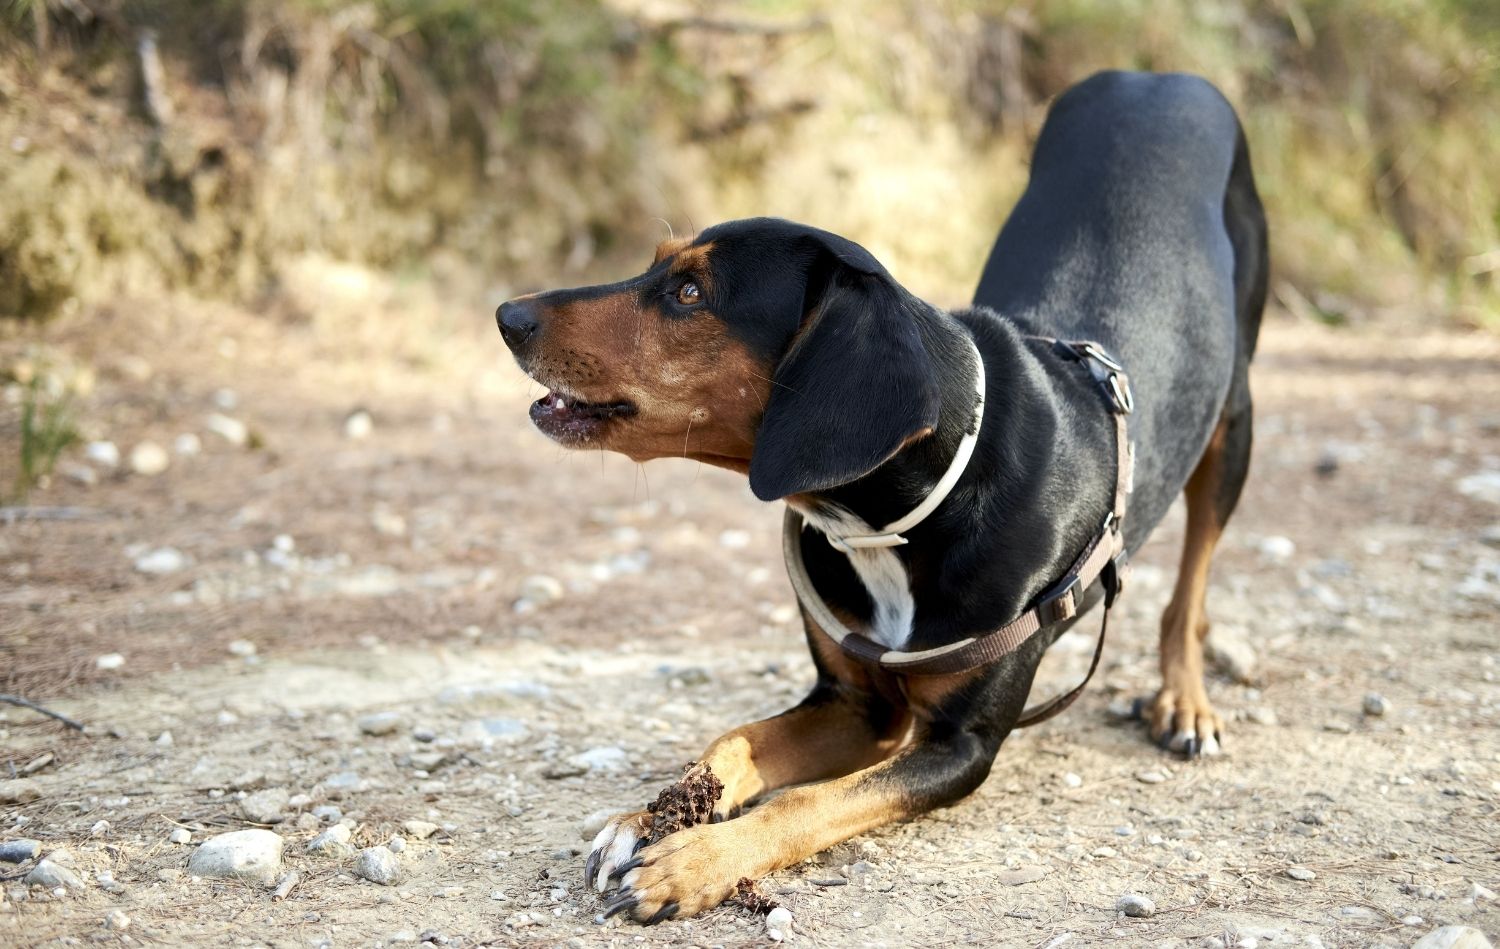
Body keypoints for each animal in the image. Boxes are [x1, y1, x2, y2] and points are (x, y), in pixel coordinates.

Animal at [495, 70, 1266, 923]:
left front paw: (695, 858)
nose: (507, 315)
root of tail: (1157, 76)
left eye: (690, 291)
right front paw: (646, 818)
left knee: (1192, 578)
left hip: (1233, 420)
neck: (905, 510)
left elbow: (810, 801)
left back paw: (1186, 701)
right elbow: (733, 740)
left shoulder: (957, 745)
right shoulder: (856, 704)